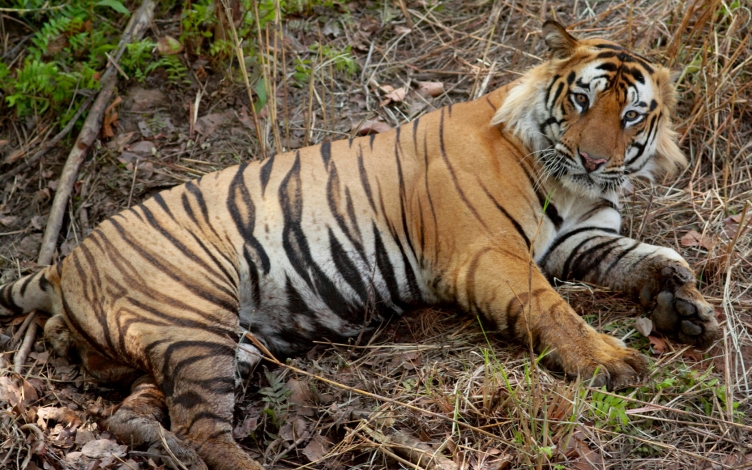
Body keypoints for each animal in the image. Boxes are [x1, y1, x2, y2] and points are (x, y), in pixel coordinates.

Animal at [0, 21, 719, 470]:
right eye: (581, 100)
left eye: (631, 114)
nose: (596, 160)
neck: (569, 186)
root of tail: (63, 262)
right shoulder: (491, 255)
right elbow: (554, 309)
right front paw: (611, 360)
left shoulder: (580, 237)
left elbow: (640, 259)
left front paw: (683, 308)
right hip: (193, 316)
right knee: (203, 429)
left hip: (214, 341)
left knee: (140, 408)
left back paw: (147, 434)